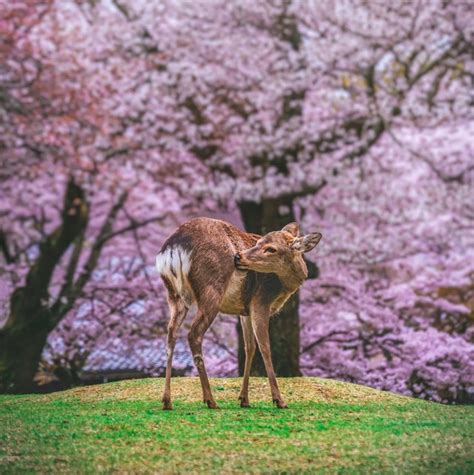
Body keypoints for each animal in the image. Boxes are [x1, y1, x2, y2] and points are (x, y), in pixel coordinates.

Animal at [156, 218, 322, 410]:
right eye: (259, 242)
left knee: (171, 335)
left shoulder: (245, 310)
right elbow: (265, 347)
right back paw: (210, 400)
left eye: (271, 248)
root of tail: (174, 247)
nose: (238, 256)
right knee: (194, 334)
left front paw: (244, 399)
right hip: (211, 290)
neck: (284, 287)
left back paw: (167, 400)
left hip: (175, 295)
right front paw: (279, 400)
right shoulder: (260, 301)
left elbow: (249, 347)